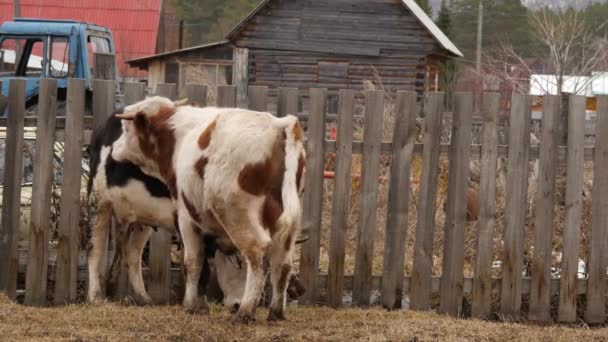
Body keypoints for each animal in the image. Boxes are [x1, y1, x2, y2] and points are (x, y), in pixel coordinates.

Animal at [111, 97, 306, 324]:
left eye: (126, 128)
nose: (114, 147)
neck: (179, 135)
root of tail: (279, 125)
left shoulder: (186, 219)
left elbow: (193, 262)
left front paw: (190, 305)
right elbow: (204, 267)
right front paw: (201, 305)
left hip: (238, 216)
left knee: (256, 253)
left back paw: (246, 311)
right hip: (288, 225)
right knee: (282, 263)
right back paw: (275, 312)